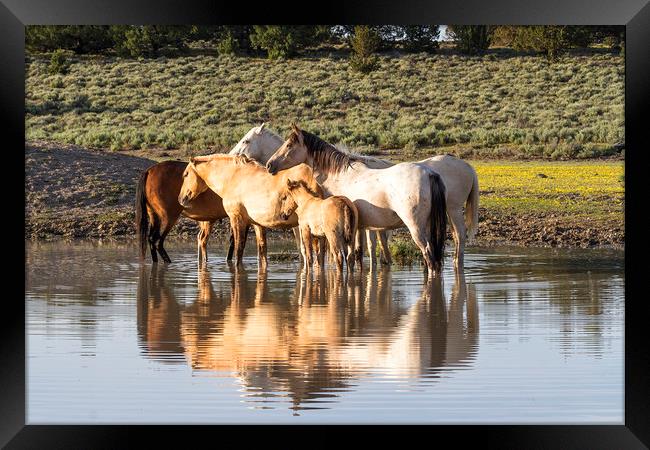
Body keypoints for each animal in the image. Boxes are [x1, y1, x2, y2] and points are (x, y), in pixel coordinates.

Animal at [177, 153, 322, 268]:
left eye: (186, 174)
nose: (180, 199)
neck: (232, 177)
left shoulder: (236, 219)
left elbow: (238, 250)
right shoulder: (257, 224)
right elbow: (262, 253)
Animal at [233, 122, 476, 270]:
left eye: (290, 144)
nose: (270, 165)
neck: (339, 175)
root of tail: (429, 173)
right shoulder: (360, 227)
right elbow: (355, 254)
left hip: (421, 224)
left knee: (432, 254)